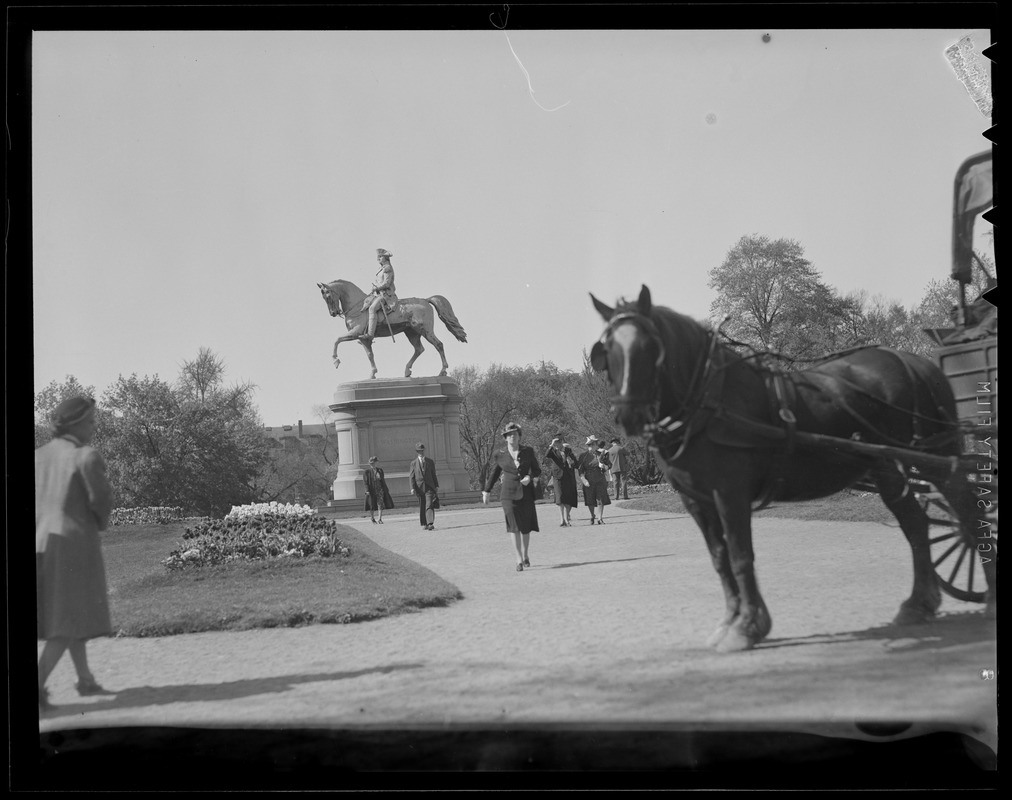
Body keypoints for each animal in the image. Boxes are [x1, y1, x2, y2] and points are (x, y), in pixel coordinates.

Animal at [317, 279, 467, 380]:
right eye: (323, 297)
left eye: (328, 296)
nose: (333, 313)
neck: (357, 306)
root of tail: (425, 300)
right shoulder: (364, 339)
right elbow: (370, 355)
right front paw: (372, 374)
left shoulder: (356, 333)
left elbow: (336, 340)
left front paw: (335, 361)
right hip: (411, 333)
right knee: (419, 349)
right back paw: (407, 371)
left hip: (425, 330)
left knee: (438, 345)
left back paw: (442, 371)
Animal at [591, 285, 991, 655]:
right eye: (608, 351)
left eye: (650, 347)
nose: (628, 414)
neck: (707, 402)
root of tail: (914, 361)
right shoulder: (697, 501)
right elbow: (720, 559)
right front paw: (732, 620)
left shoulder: (730, 494)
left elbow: (741, 556)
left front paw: (747, 627)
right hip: (888, 467)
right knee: (916, 526)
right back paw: (918, 604)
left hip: (933, 458)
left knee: (969, 513)